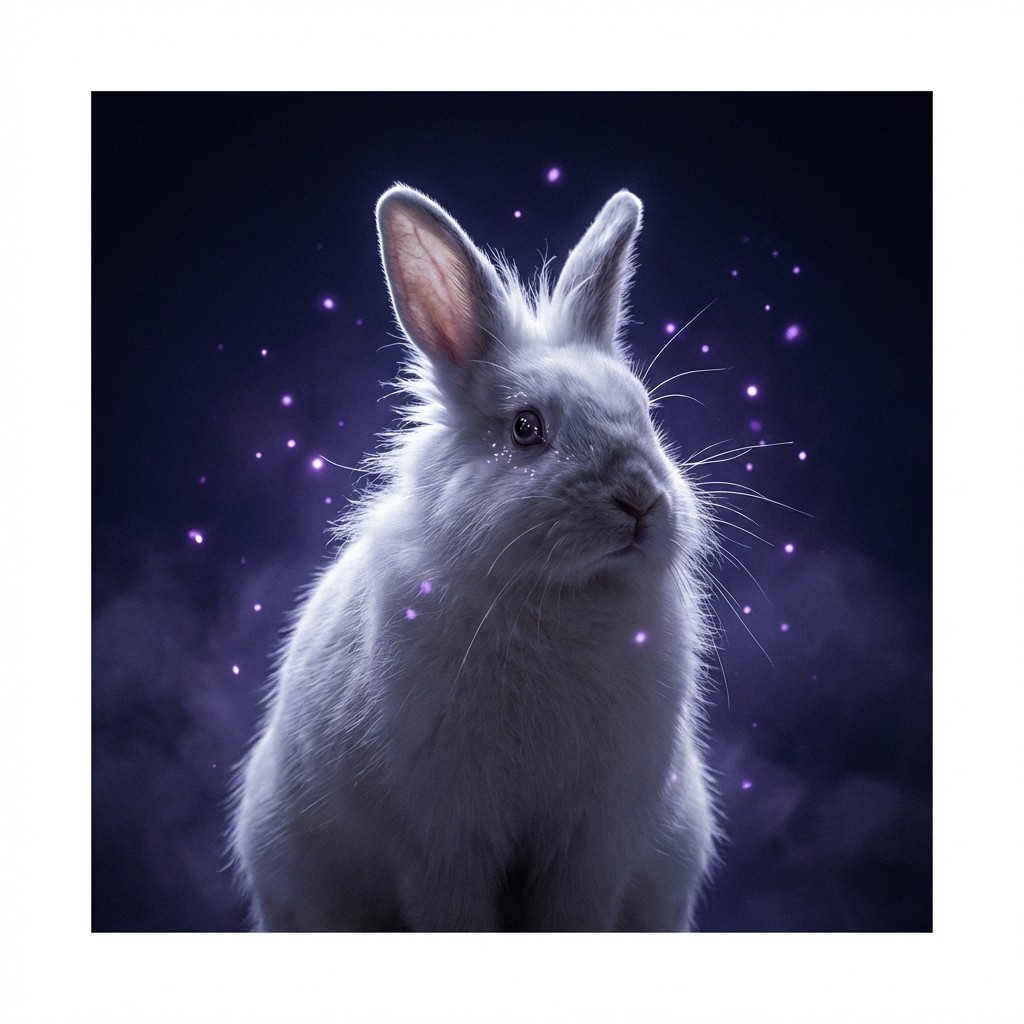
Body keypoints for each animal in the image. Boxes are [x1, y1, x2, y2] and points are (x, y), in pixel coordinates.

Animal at [230, 184, 721, 931]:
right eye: (526, 429)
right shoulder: (445, 841)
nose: (639, 500)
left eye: (645, 414)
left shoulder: (591, 843)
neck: (559, 596)